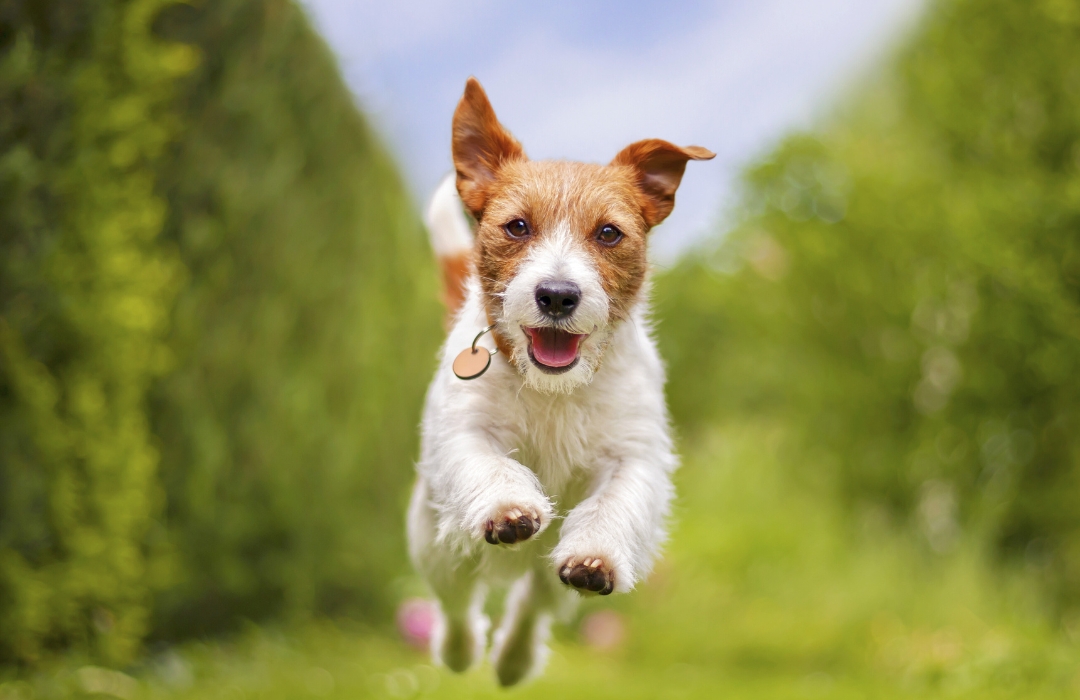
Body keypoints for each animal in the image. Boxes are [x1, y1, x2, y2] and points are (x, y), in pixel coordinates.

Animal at [408, 76, 712, 682]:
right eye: (517, 226)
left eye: (609, 233)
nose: (556, 295)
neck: (555, 389)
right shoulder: (466, 431)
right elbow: (490, 464)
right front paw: (508, 507)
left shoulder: (632, 455)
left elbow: (613, 502)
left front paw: (595, 555)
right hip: (436, 544)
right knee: (456, 601)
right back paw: (459, 652)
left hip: (544, 577)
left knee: (532, 604)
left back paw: (513, 660)